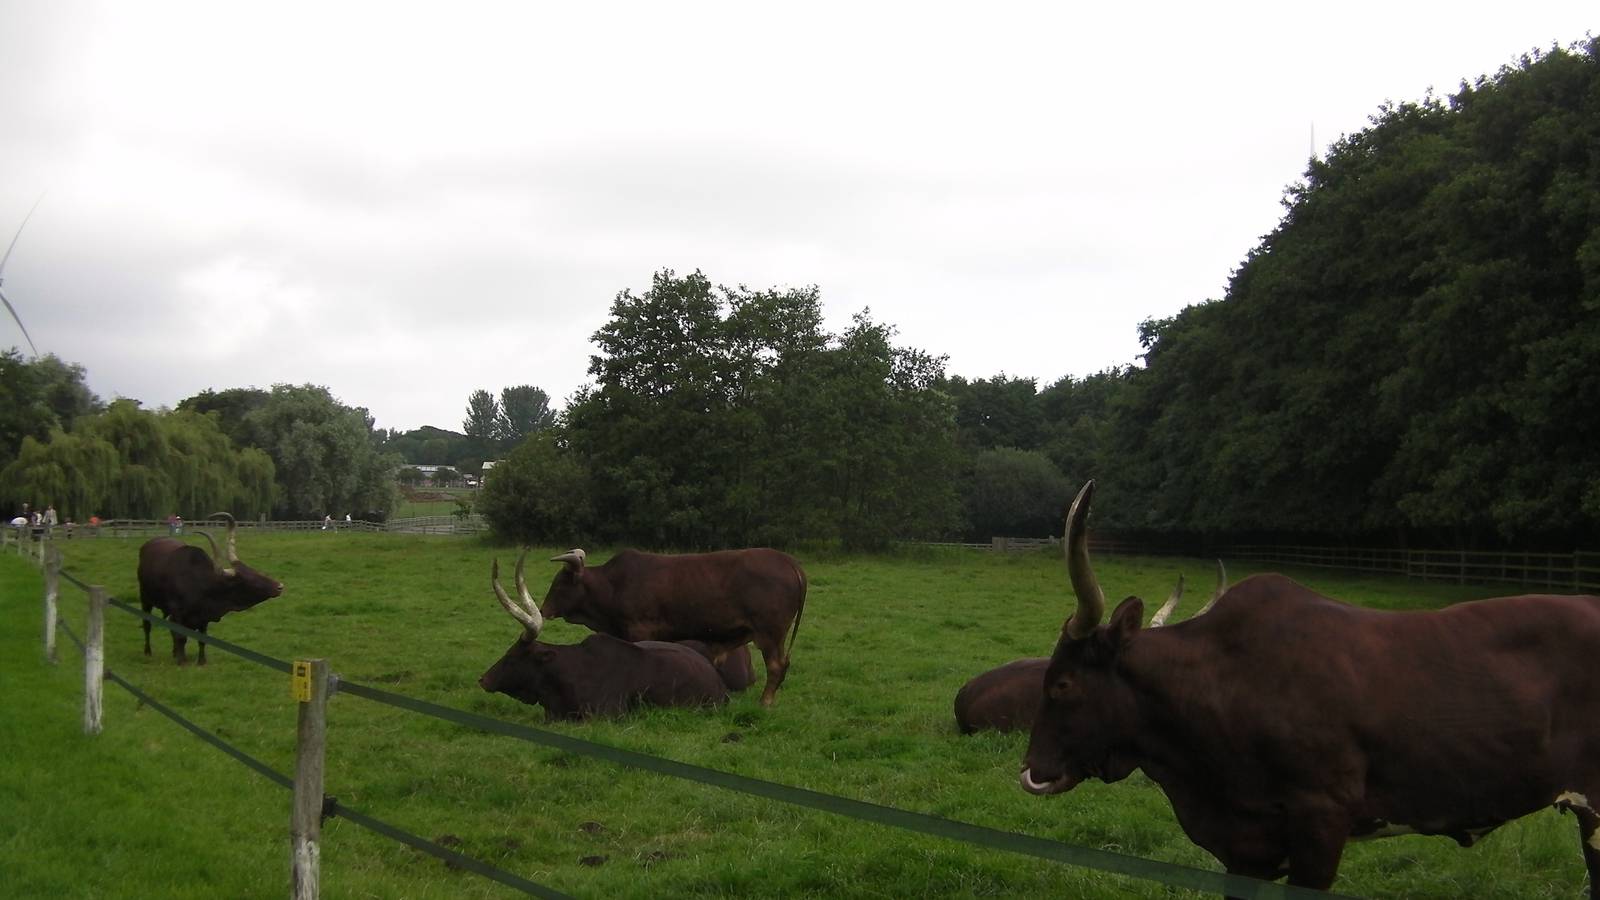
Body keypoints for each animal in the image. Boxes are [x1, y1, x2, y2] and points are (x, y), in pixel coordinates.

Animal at [135, 512, 283, 665]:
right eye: (249, 579)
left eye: (253, 571)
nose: (279, 586)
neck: (200, 583)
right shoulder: (178, 613)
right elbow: (181, 637)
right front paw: (182, 661)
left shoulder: (203, 616)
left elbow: (202, 639)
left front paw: (201, 661)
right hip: (145, 599)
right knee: (147, 625)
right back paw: (148, 652)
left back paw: (174, 652)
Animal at [539, 547, 808, 706]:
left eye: (560, 584)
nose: (542, 610)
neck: (613, 585)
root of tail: (789, 562)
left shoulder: (639, 630)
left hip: (770, 633)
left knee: (776, 666)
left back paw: (765, 701)